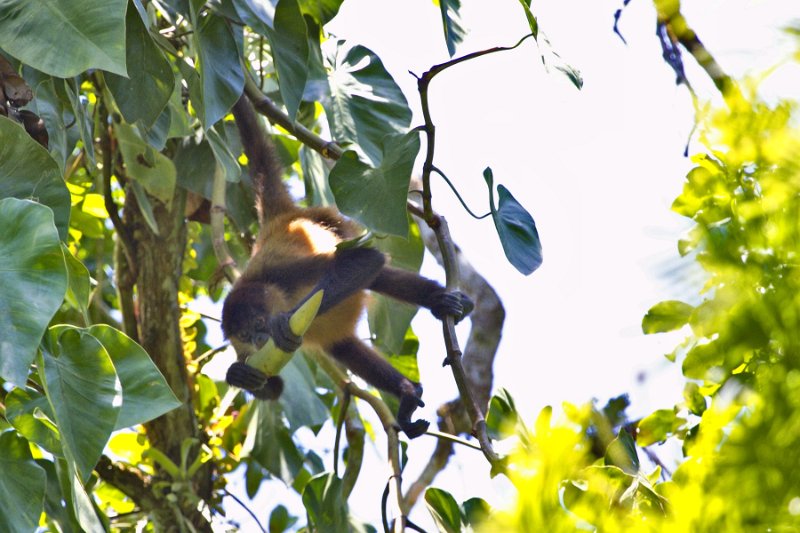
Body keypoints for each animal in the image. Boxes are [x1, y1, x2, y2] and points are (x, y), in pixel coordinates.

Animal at [222, 94, 472, 436]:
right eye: (245, 335)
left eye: (259, 324)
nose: (261, 340)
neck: (260, 286)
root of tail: (281, 219)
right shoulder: (249, 351)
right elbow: (272, 388)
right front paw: (237, 375)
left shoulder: (284, 275)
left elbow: (368, 261)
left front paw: (282, 323)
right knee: (342, 346)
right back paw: (408, 395)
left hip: (337, 227)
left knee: (373, 274)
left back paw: (443, 302)